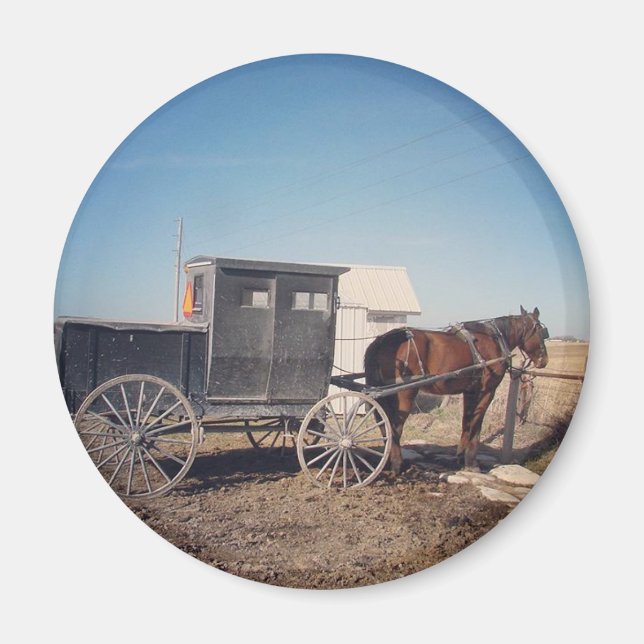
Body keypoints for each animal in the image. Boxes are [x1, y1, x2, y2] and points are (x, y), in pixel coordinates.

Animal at [364, 306, 549, 474]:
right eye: (541, 330)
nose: (544, 360)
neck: (494, 339)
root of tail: (382, 340)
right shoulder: (487, 391)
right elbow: (476, 424)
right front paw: (472, 462)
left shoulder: (470, 391)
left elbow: (466, 422)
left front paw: (460, 457)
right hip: (405, 393)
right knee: (394, 427)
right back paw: (396, 464)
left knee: (385, 426)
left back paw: (387, 461)